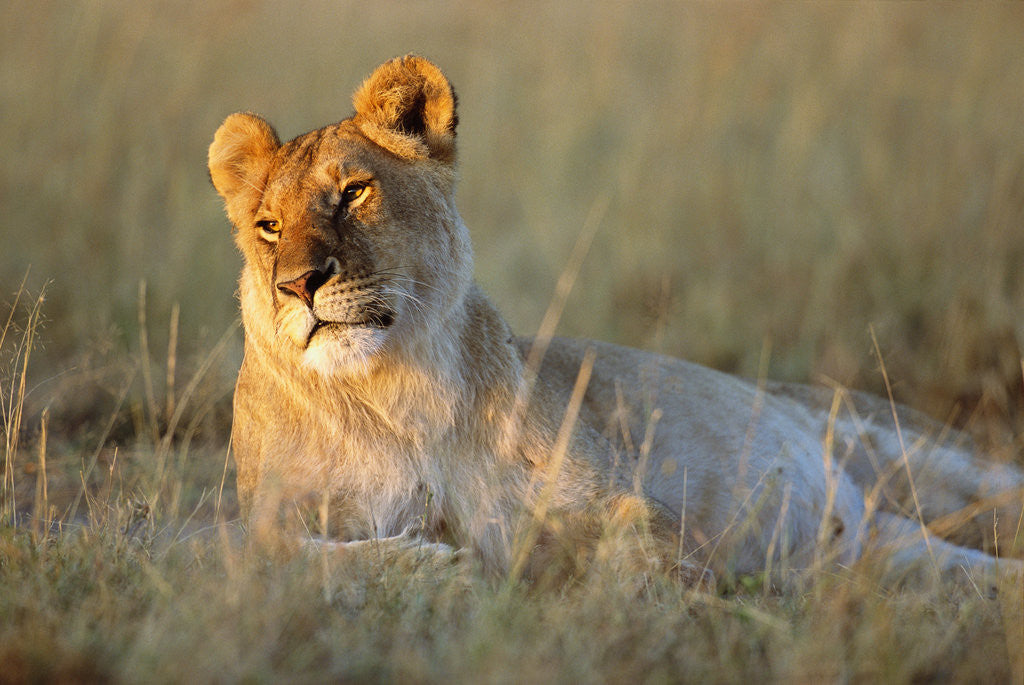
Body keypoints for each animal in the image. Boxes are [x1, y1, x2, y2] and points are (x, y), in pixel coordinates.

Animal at [208, 55, 1024, 588]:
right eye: (269, 226)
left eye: (354, 192)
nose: (298, 285)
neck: (397, 390)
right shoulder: (264, 518)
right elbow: (264, 556)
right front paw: (429, 566)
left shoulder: (614, 498)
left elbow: (644, 554)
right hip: (908, 557)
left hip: (936, 460)